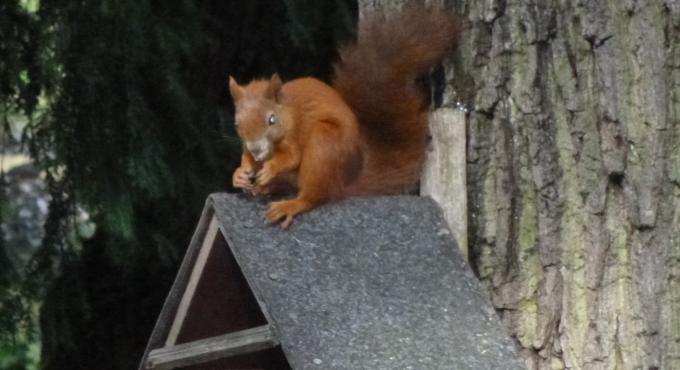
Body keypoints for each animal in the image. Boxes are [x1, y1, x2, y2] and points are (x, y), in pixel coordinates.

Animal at [231, 5, 460, 227]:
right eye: (237, 124)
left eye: (272, 120)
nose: (257, 149)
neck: (287, 114)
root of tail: (342, 184)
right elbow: (247, 157)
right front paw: (240, 173)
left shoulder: (293, 135)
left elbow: (292, 157)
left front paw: (270, 168)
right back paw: (262, 188)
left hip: (324, 146)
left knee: (312, 196)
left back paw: (292, 204)